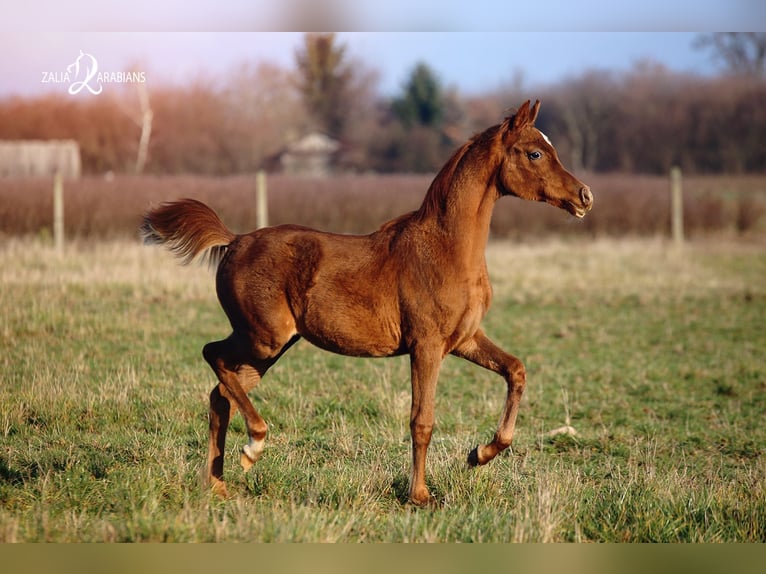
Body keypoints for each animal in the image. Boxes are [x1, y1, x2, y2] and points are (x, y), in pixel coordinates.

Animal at [141, 101, 592, 506]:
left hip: (268, 349)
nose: (584, 196)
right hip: (263, 338)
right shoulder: (426, 346)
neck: (446, 248)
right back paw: (254, 446)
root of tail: (233, 240)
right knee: (212, 355)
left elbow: (516, 370)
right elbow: (422, 420)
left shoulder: (464, 340)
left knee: (220, 393)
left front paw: (478, 455)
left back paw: (218, 485)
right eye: (535, 153)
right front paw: (420, 496)